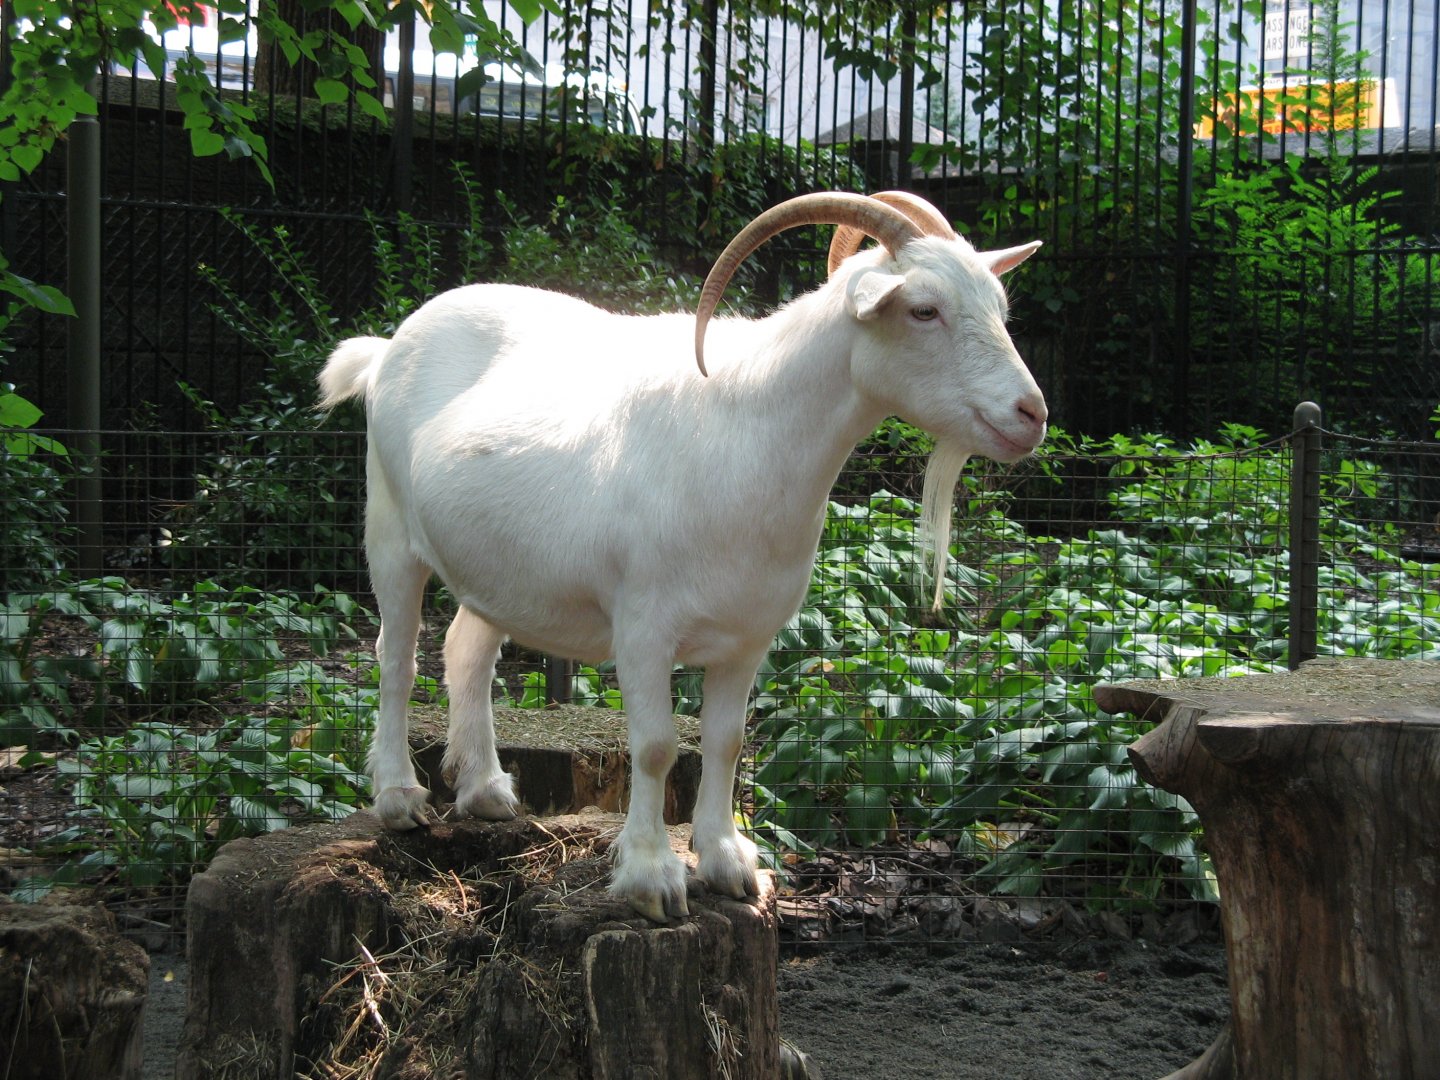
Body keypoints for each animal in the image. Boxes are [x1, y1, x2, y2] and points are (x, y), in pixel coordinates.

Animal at [318, 191, 1047, 923]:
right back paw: (398, 797)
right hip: (389, 529)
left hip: (499, 571)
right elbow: (656, 747)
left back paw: (487, 792)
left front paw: (728, 864)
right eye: (924, 309)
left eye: (999, 305)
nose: (1031, 413)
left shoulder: (749, 637)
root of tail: (386, 350)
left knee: (466, 649)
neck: (745, 431)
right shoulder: (642, 629)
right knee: (397, 658)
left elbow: (726, 740)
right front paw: (651, 878)